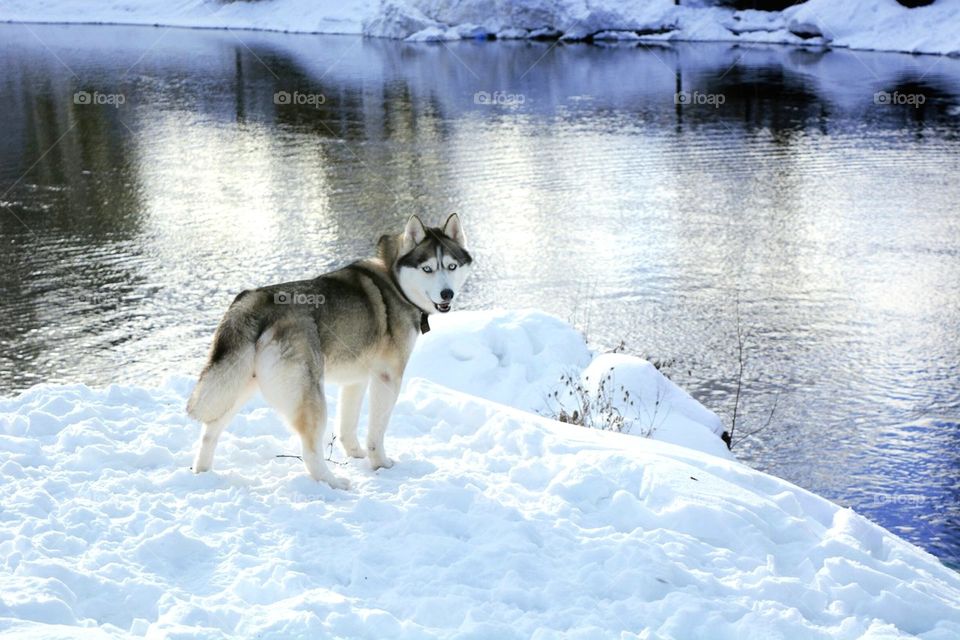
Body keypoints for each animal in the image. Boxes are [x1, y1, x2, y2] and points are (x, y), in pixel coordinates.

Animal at [185, 212, 472, 488]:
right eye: (427, 269)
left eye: (451, 266)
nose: (447, 294)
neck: (395, 281)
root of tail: (256, 301)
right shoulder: (388, 377)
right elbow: (376, 432)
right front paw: (380, 464)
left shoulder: (357, 378)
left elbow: (347, 426)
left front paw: (356, 455)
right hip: (309, 395)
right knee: (310, 452)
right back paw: (333, 482)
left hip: (240, 385)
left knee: (209, 432)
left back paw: (202, 473)